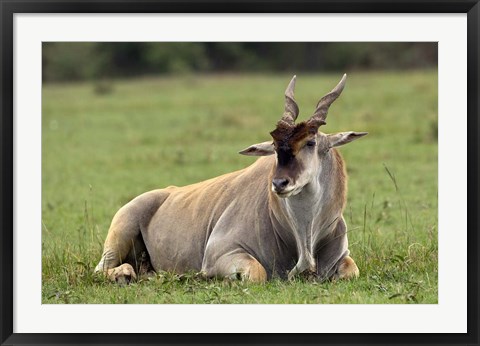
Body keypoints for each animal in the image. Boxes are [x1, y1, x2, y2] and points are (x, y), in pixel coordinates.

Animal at [96, 74, 368, 282]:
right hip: (119, 236)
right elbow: (257, 273)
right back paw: (125, 274)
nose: (280, 183)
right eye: (274, 147)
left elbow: (350, 270)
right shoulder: (221, 254)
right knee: (102, 270)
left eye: (310, 142)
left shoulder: (343, 260)